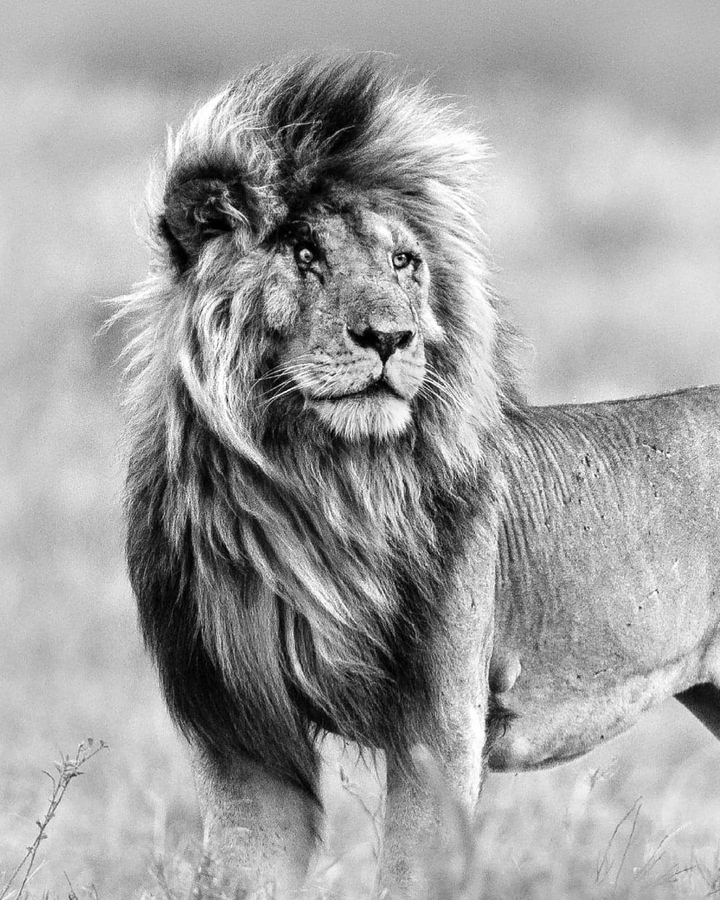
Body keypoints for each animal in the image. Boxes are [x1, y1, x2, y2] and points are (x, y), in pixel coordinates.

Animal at [120, 56, 720, 898]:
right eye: (303, 253)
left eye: (403, 262)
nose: (388, 337)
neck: (313, 492)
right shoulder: (240, 734)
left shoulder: (441, 724)